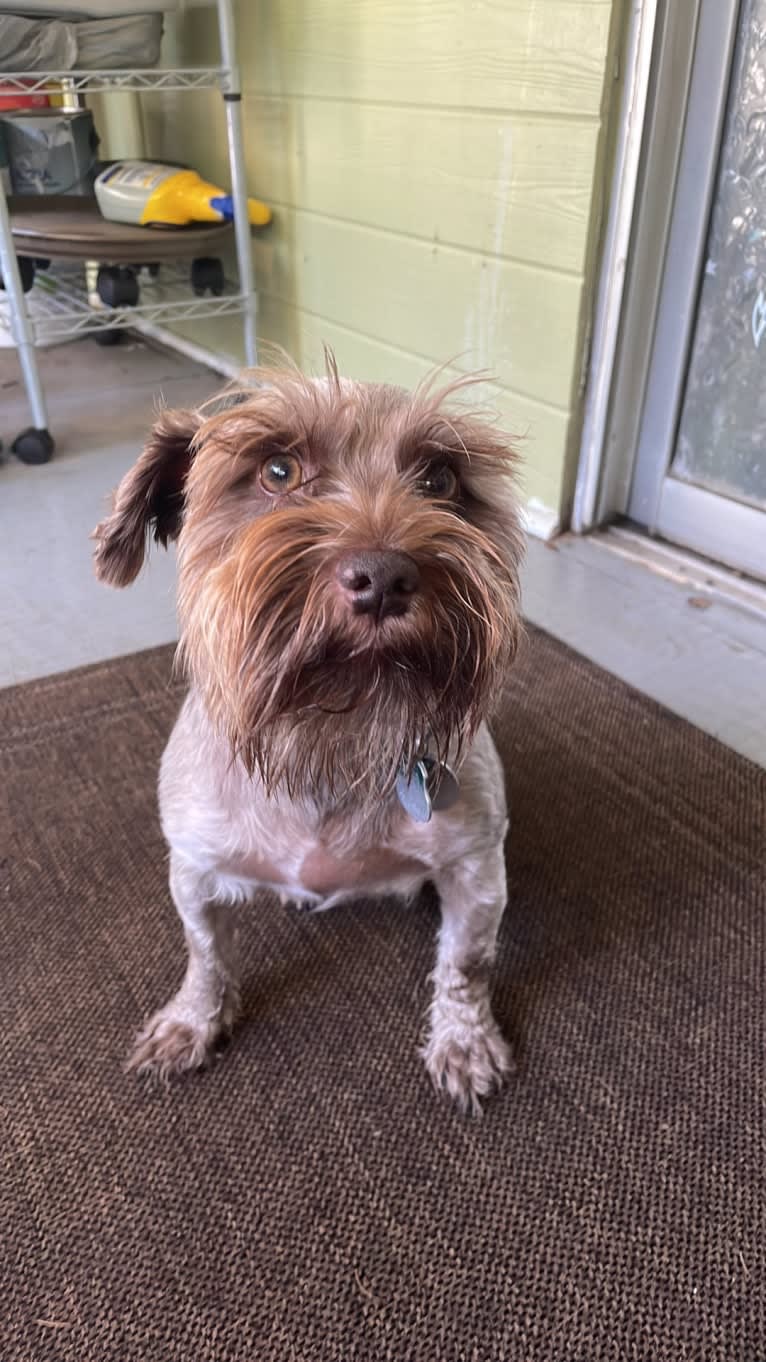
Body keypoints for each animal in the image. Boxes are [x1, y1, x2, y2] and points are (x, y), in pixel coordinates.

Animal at [92, 362, 520, 1116]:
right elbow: (205, 956)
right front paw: (192, 1022)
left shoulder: (476, 868)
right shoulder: (194, 870)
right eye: (277, 470)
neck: (331, 738)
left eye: (440, 479)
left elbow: (465, 966)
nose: (385, 576)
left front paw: (464, 1041)